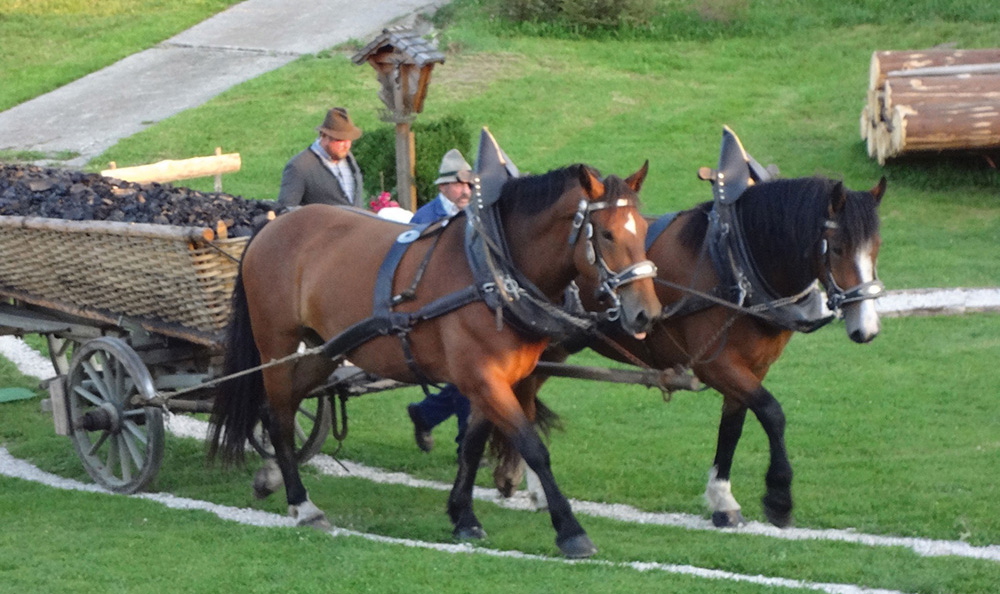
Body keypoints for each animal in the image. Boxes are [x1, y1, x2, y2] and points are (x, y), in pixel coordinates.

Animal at [209, 161, 664, 556]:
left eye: (643, 228)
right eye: (605, 234)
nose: (647, 313)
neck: (493, 273)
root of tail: (271, 225)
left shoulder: (490, 380)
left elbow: (472, 448)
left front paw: (463, 516)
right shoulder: (482, 377)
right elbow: (533, 447)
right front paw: (570, 531)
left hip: (325, 349)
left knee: (282, 407)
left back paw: (271, 478)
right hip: (277, 346)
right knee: (280, 417)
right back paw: (302, 504)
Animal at [512, 173, 888, 524]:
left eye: (876, 246)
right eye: (836, 248)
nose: (866, 328)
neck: (734, 266)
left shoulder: (752, 367)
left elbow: (733, 426)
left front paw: (722, 497)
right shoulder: (716, 365)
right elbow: (772, 412)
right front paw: (779, 496)